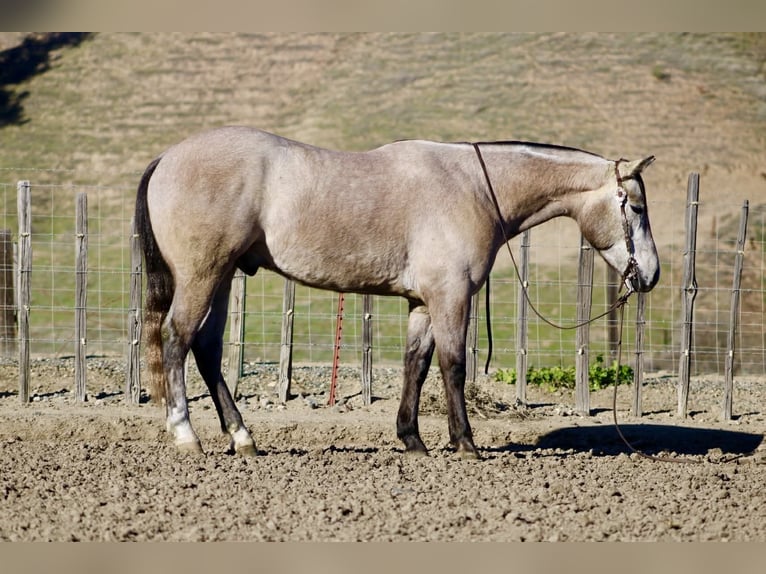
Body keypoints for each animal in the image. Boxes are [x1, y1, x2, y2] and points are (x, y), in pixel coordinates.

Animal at [134, 126, 659, 459]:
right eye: (635, 206)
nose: (650, 275)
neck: (472, 187)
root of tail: (167, 158)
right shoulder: (451, 297)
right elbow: (453, 366)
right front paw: (465, 443)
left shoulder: (423, 303)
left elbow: (417, 366)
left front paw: (412, 440)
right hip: (202, 276)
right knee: (177, 339)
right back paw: (186, 435)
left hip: (222, 278)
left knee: (206, 349)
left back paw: (242, 438)